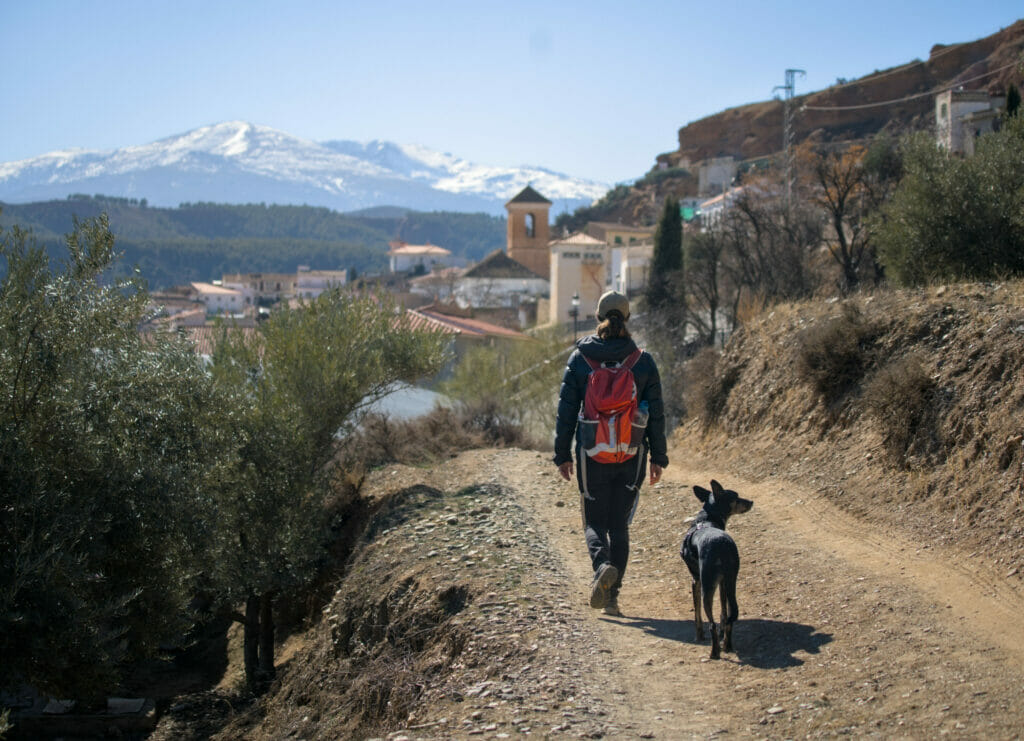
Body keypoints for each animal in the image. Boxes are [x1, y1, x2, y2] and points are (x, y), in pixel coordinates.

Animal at [679, 481, 753, 659]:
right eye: (736, 497)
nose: (751, 502)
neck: (706, 520)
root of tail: (722, 545)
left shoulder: (696, 581)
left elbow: (697, 615)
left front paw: (699, 636)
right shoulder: (722, 584)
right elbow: (724, 613)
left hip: (707, 588)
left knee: (711, 623)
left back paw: (714, 652)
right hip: (730, 582)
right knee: (730, 619)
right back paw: (727, 646)